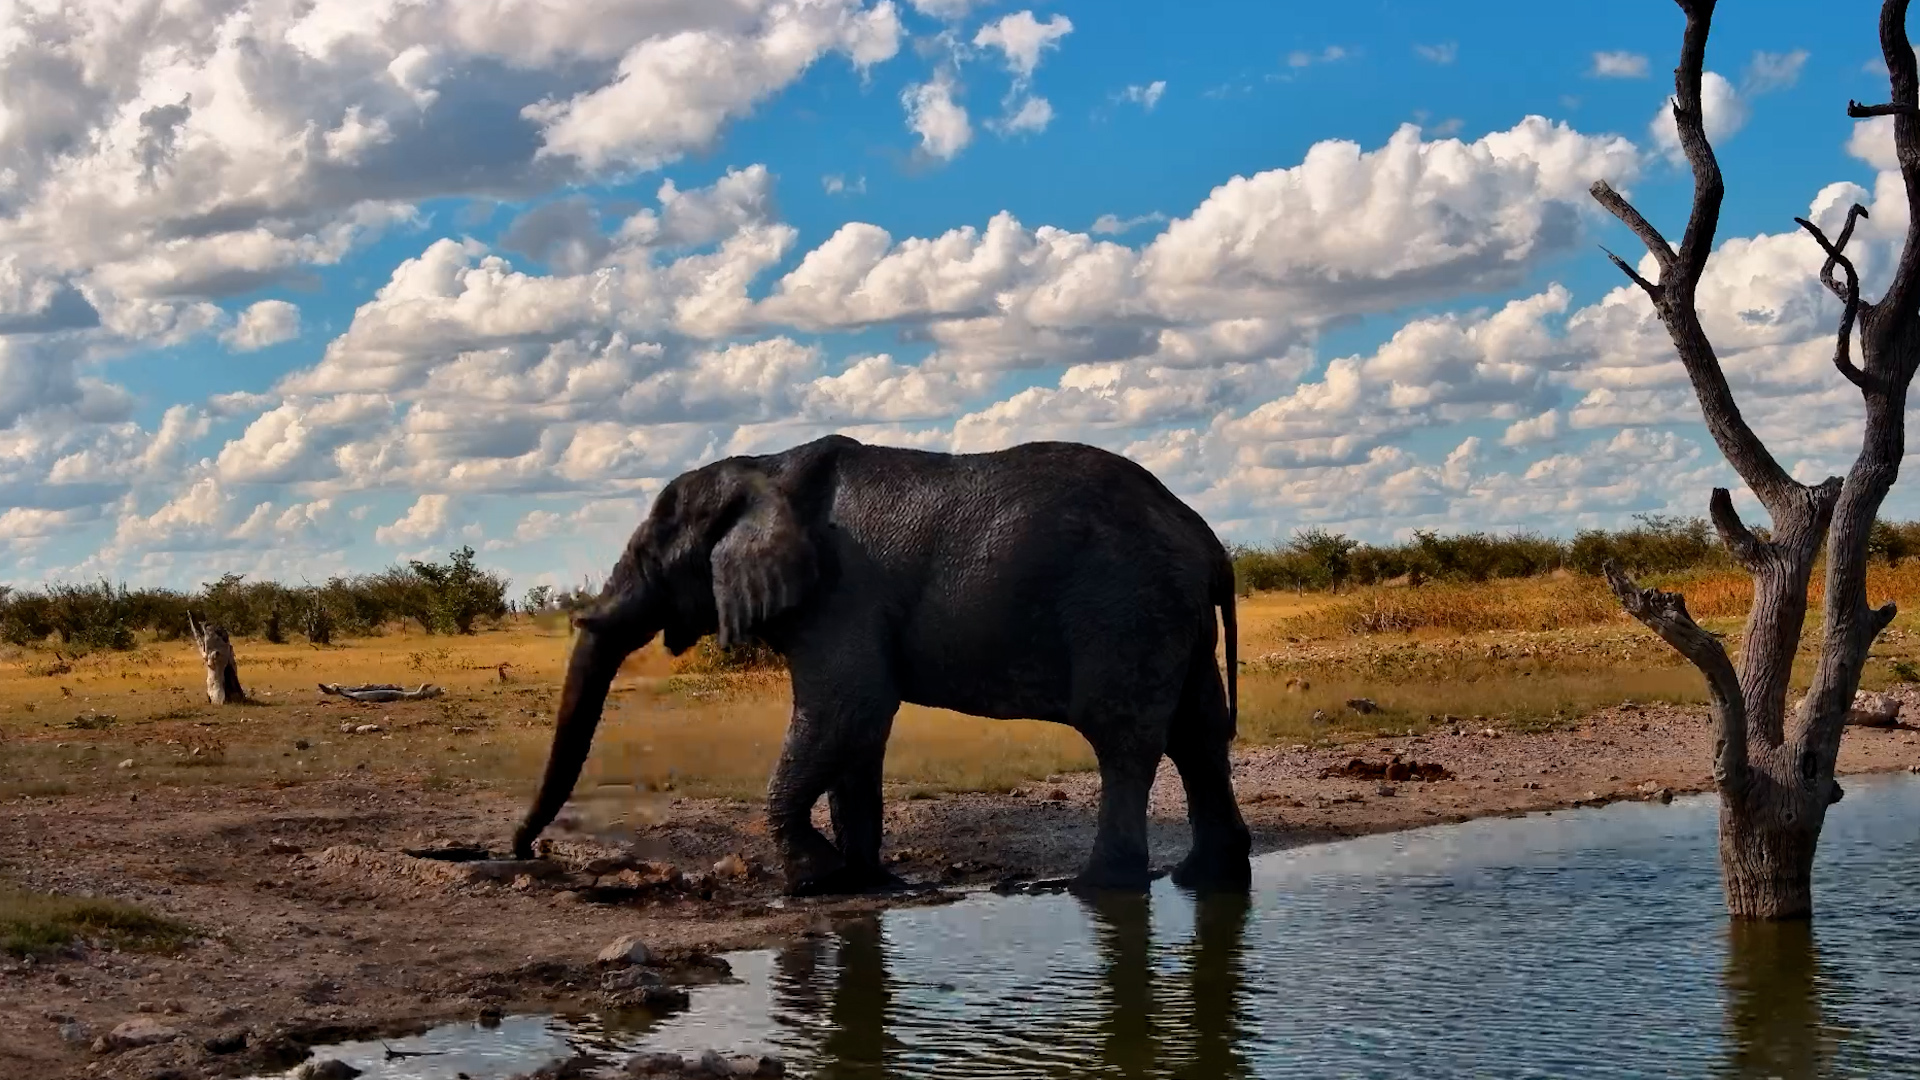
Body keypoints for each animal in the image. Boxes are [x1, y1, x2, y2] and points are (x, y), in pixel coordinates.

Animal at [512, 434, 1252, 896]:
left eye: (653, 552)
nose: (523, 851)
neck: (763, 470)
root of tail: (1208, 542)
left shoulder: (842, 595)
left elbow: (846, 708)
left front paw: (812, 879)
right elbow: (858, 732)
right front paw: (862, 882)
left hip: (1125, 607)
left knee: (1123, 737)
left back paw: (1101, 890)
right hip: (1169, 616)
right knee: (1198, 734)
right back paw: (1204, 880)